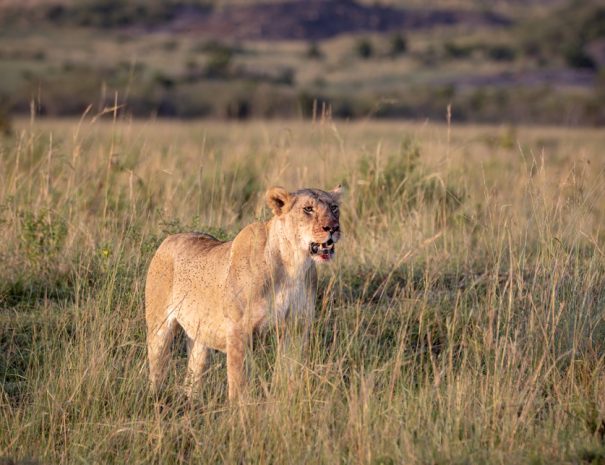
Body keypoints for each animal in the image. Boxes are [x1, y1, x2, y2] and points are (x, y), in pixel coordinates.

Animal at [142, 185, 340, 398]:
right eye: (308, 209)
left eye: (334, 208)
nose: (333, 228)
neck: (293, 264)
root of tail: (170, 238)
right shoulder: (238, 329)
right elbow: (239, 382)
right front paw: (242, 407)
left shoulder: (296, 327)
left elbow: (288, 373)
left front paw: (286, 399)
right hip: (159, 328)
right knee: (157, 369)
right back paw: (155, 397)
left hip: (200, 337)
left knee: (193, 374)